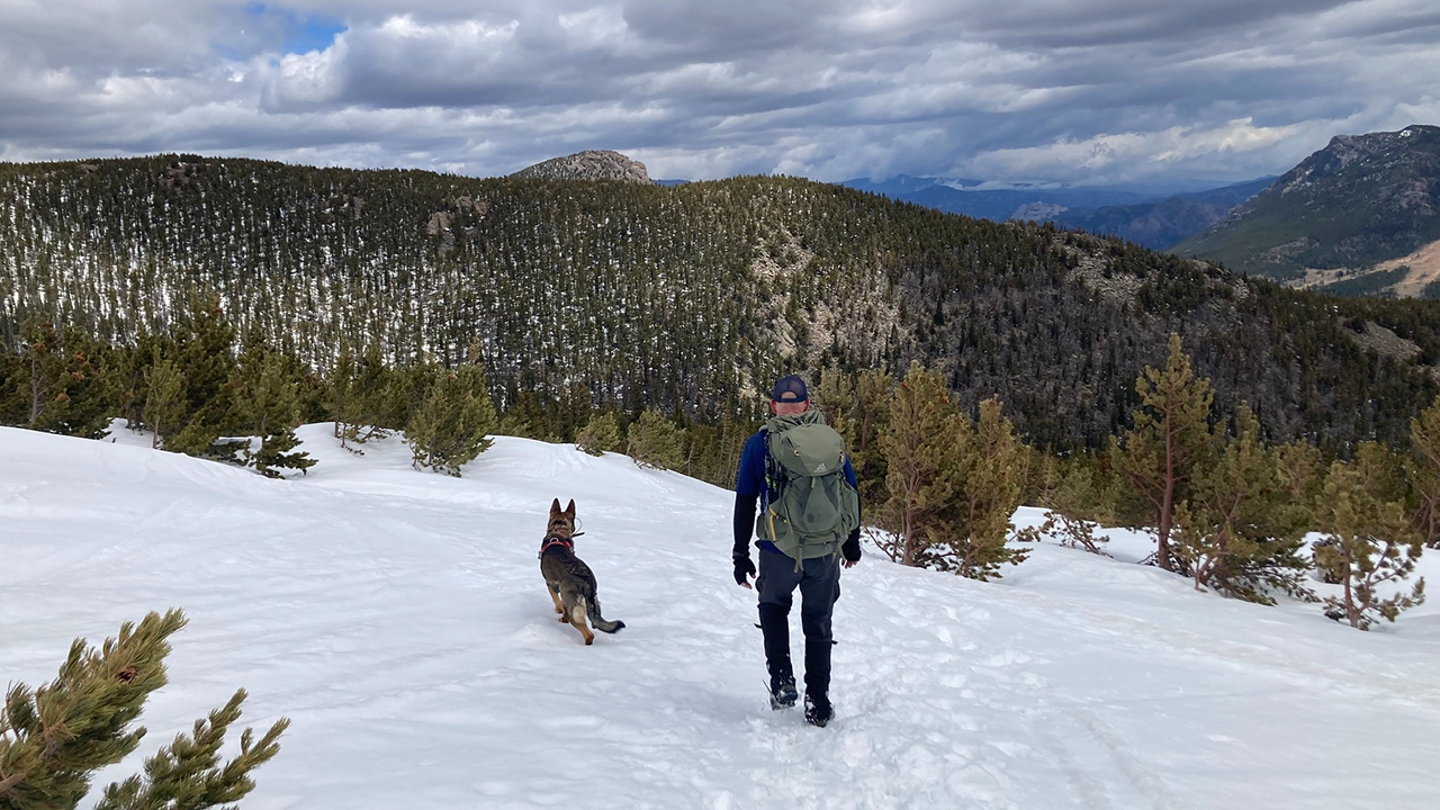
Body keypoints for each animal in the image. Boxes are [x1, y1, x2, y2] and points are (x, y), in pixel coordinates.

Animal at [541, 495, 624, 639]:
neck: (559, 530)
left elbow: (557, 602)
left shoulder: (550, 584)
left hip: (573, 609)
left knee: (588, 634)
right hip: (593, 603)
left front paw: (559, 612)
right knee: (595, 622)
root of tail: (586, 582)